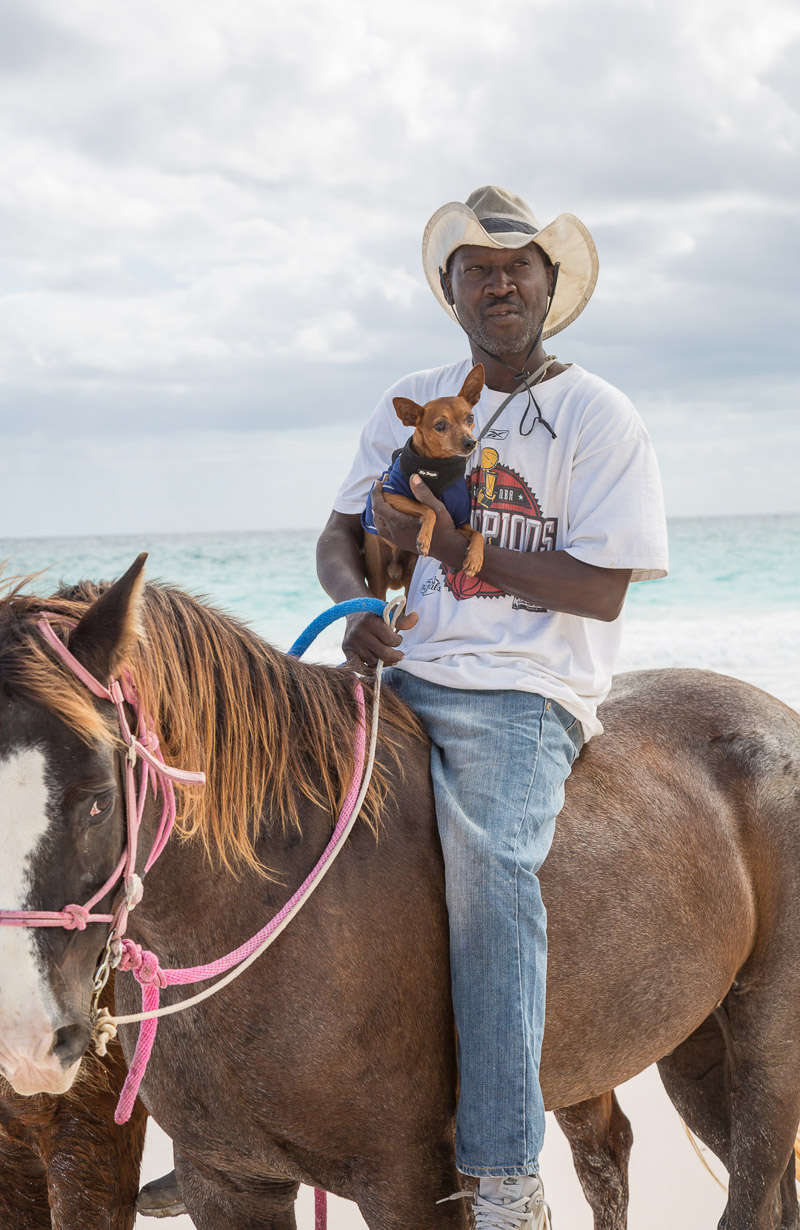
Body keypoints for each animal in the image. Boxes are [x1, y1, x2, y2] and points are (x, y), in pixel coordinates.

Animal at [0, 558, 792, 1230]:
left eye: (98, 799)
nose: (28, 1042)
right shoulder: (226, 1181)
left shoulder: (409, 1182)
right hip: (688, 1043)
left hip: (764, 1045)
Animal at [361, 359, 484, 600]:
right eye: (440, 426)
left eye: (470, 418)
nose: (470, 442)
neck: (437, 467)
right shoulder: (390, 495)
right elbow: (428, 509)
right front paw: (424, 538)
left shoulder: (458, 522)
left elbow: (478, 533)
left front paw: (475, 558)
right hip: (376, 580)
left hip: (409, 580)